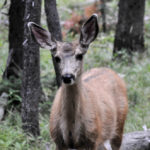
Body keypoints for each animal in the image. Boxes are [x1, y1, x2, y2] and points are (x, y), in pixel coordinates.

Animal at [28, 14, 128, 150]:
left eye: (79, 55)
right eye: (57, 58)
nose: (67, 76)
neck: (71, 128)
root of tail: (110, 71)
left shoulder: (92, 138)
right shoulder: (58, 140)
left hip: (119, 123)